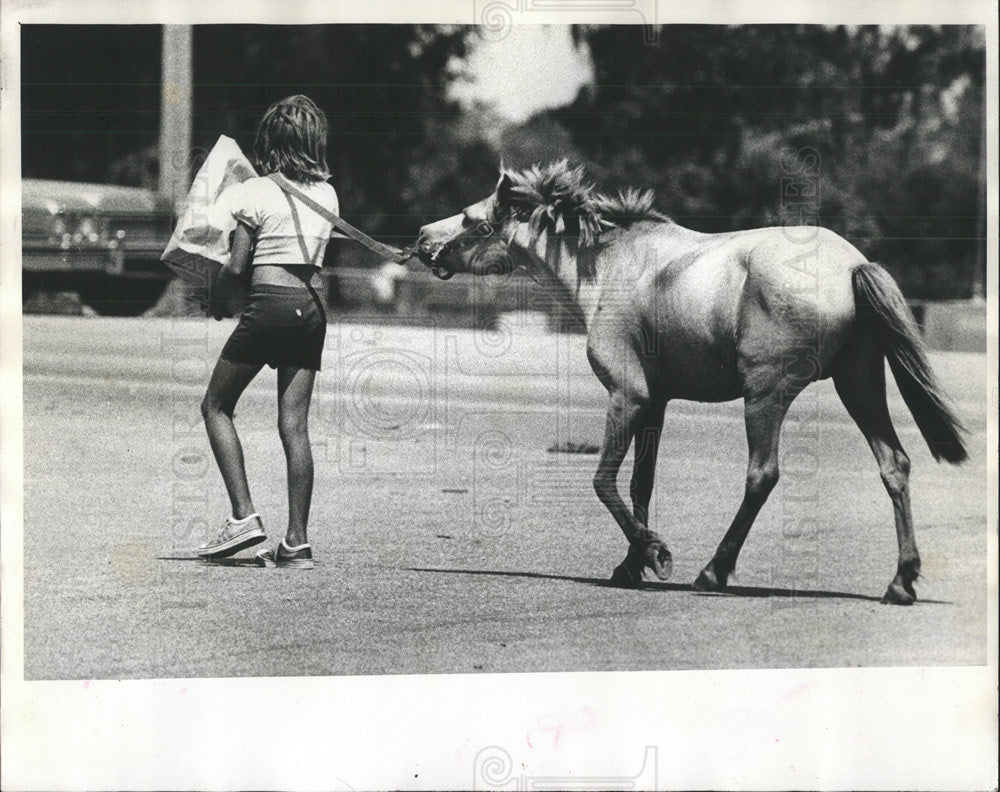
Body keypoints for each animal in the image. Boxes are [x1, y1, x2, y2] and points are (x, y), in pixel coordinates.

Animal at [410, 162, 964, 608]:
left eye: (472, 219)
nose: (419, 239)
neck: (611, 266)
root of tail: (850, 265)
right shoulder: (655, 403)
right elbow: (640, 482)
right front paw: (631, 563)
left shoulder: (627, 396)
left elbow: (603, 480)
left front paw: (655, 552)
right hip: (860, 385)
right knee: (894, 465)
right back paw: (901, 581)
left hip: (766, 395)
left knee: (762, 474)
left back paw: (714, 571)